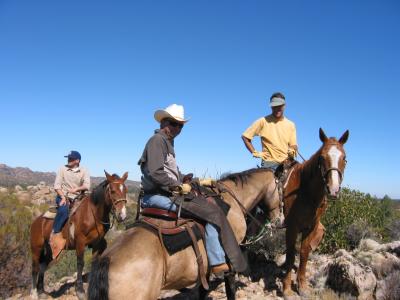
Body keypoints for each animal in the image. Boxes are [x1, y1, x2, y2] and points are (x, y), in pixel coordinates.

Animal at [30, 171, 129, 300]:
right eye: (112, 191)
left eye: (125, 190)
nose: (122, 215)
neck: (93, 214)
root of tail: (36, 222)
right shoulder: (80, 242)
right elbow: (80, 264)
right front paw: (80, 290)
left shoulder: (97, 243)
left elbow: (94, 261)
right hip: (36, 248)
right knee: (35, 268)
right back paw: (34, 293)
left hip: (51, 249)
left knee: (42, 266)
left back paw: (41, 291)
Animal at [88, 169, 282, 300]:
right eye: (281, 188)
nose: (279, 220)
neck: (231, 203)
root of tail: (106, 261)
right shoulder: (230, 263)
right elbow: (230, 290)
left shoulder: (205, 269)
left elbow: (203, 291)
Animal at [282, 127, 350, 298]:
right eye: (322, 157)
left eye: (344, 158)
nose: (333, 190)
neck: (306, 192)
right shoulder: (291, 227)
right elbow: (291, 254)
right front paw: (286, 289)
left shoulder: (311, 227)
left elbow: (304, 253)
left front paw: (302, 286)